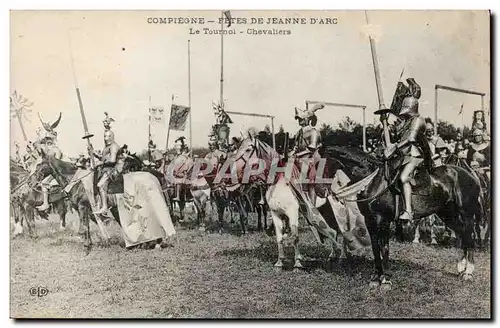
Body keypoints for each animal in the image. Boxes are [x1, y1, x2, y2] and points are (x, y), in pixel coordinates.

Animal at [326, 146, 482, 288]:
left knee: (470, 237)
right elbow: (376, 249)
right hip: (448, 214)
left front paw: (385, 280)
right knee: (462, 236)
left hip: (466, 214)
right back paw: (461, 268)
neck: (374, 180)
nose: (328, 193)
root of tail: (471, 176)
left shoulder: (383, 221)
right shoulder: (370, 221)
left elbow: (384, 248)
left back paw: (468, 272)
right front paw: (375, 278)